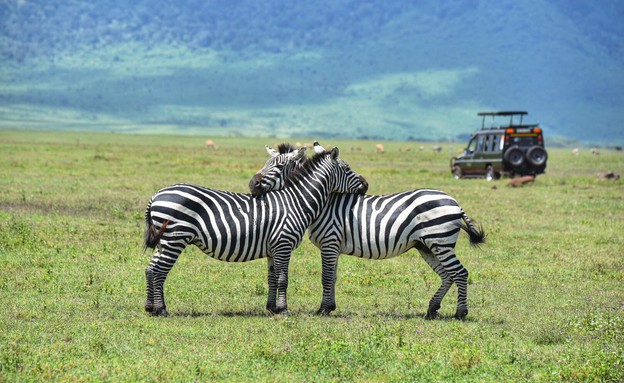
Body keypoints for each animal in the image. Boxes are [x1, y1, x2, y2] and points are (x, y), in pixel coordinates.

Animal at [142, 146, 368, 316]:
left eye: (278, 166)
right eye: (347, 168)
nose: (366, 185)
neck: (295, 201)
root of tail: (156, 196)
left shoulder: (273, 249)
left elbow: (272, 278)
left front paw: (272, 308)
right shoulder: (283, 244)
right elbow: (283, 278)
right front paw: (283, 310)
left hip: (164, 240)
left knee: (151, 269)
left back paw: (150, 308)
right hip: (175, 238)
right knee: (160, 270)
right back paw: (162, 310)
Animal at [251, 142, 486, 320]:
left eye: (278, 167)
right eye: (266, 164)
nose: (252, 184)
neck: (324, 203)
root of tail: (454, 202)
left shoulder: (330, 242)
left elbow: (326, 277)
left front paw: (323, 309)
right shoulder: (334, 247)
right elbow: (333, 277)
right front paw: (331, 306)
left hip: (440, 241)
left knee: (460, 273)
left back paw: (460, 313)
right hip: (427, 245)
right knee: (448, 275)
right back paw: (432, 309)